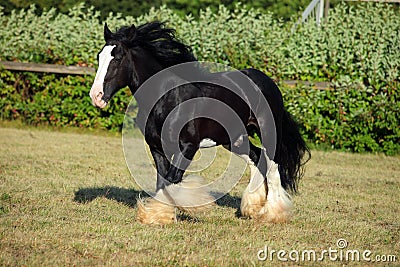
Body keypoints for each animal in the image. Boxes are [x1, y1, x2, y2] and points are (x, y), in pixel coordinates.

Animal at [90, 22, 310, 225]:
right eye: (100, 57)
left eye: (117, 58)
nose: (96, 96)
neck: (168, 98)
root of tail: (267, 81)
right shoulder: (157, 148)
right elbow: (163, 182)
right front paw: (159, 216)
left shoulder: (188, 147)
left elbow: (172, 181)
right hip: (234, 139)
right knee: (257, 158)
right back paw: (252, 208)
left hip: (267, 131)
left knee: (273, 165)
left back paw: (273, 214)